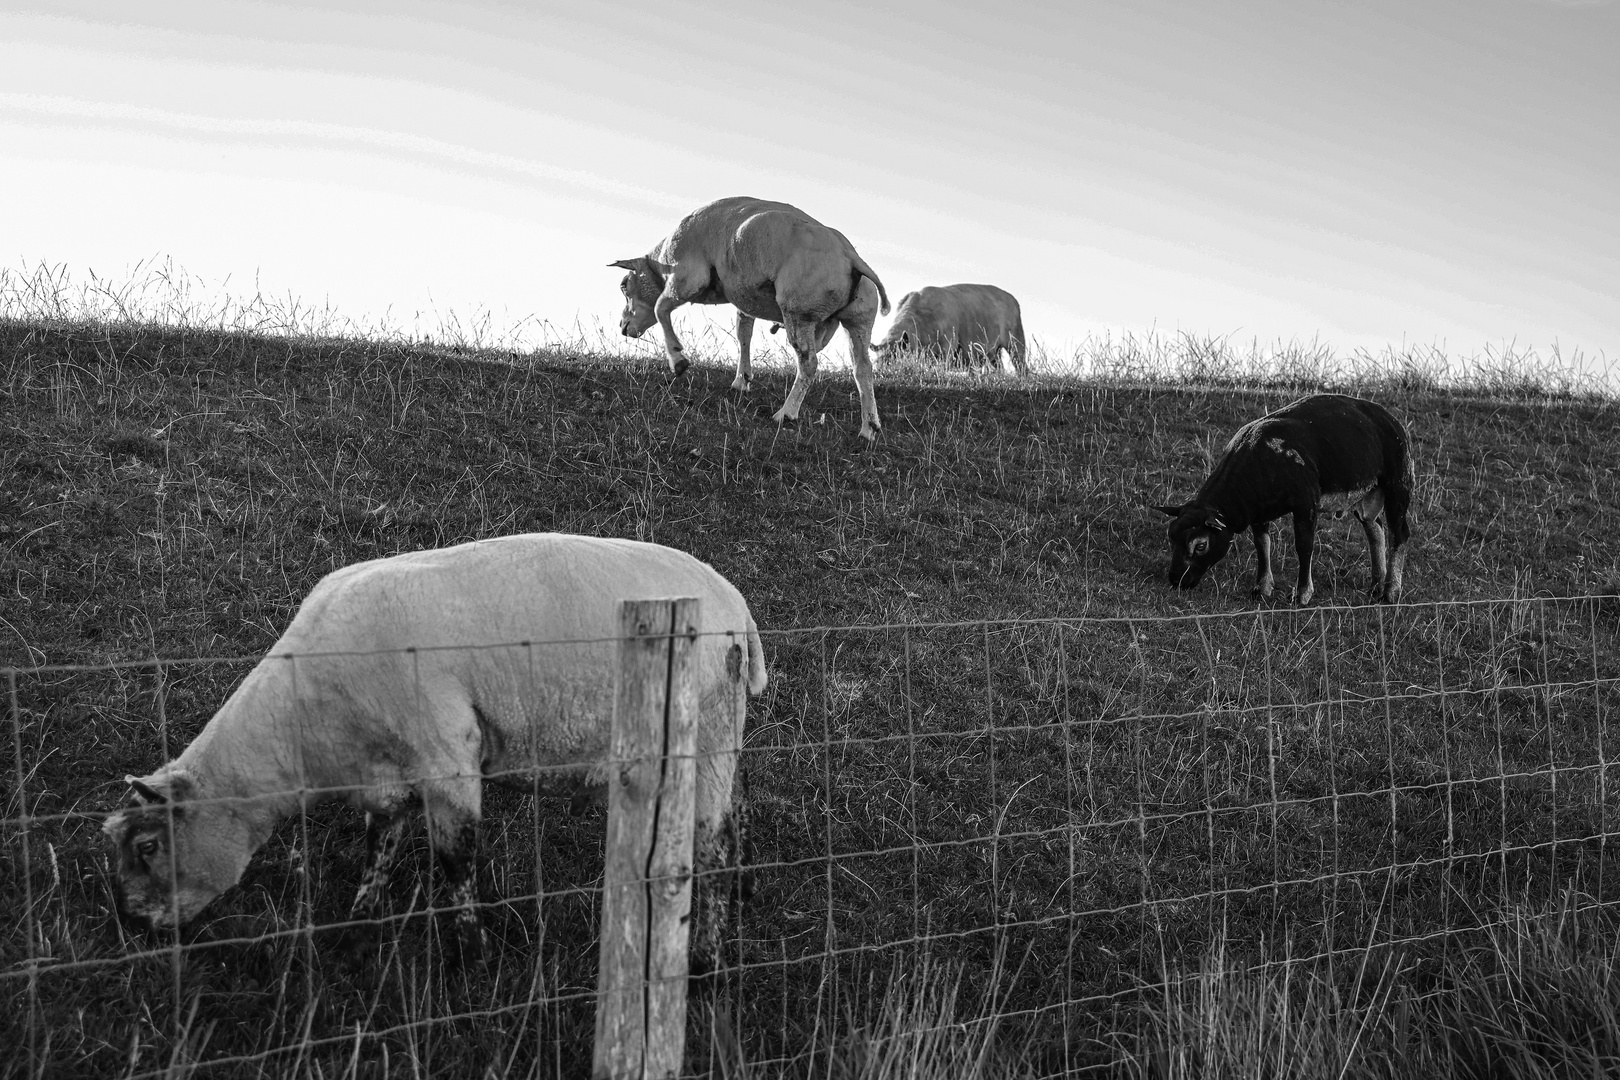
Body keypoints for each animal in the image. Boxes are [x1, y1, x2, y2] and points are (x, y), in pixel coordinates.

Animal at [102, 537, 771, 965]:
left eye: (148, 845)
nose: (132, 924)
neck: (306, 727)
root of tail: (737, 607)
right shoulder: (390, 774)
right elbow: (379, 850)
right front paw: (357, 931)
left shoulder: (448, 759)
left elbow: (454, 861)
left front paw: (473, 955)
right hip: (719, 735)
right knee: (734, 814)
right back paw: (742, 893)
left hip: (705, 732)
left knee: (711, 842)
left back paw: (706, 959)